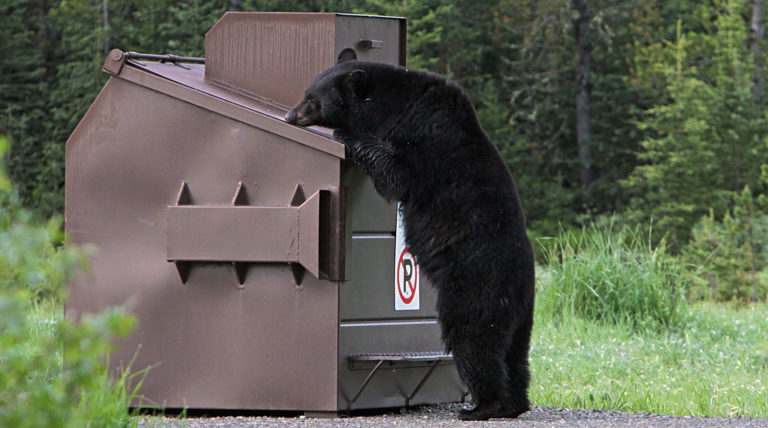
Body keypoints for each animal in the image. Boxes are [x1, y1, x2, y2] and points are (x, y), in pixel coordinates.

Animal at [286, 49, 536, 421]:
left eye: (312, 98)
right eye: (306, 91)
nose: (290, 116)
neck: (397, 104)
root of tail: (520, 287)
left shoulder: (423, 140)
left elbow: (397, 176)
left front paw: (347, 135)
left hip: (476, 288)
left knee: (473, 339)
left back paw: (483, 405)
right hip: (521, 316)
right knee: (515, 355)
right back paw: (515, 403)